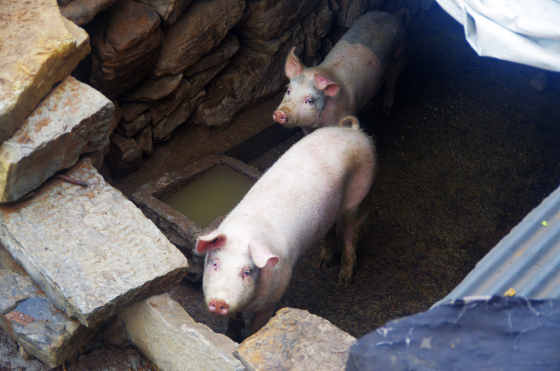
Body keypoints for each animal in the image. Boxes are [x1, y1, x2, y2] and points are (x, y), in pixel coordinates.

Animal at [196, 118, 376, 338]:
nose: (219, 302)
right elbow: (234, 320)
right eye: (215, 263)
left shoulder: (273, 297)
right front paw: (230, 336)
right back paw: (322, 264)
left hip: (364, 191)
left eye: (246, 271)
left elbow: (258, 327)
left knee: (352, 233)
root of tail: (354, 131)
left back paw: (343, 282)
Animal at [274, 10, 404, 134]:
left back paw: (386, 110)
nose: (280, 113)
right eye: (288, 90)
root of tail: (392, 15)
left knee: (391, 84)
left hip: (399, 58)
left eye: (310, 100)